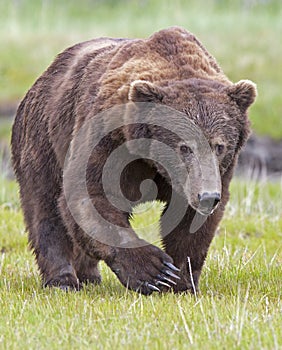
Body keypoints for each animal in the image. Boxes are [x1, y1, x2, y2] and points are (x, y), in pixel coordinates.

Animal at [12, 27, 256, 294]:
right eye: (184, 147)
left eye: (219, 146)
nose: (207, 196)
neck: (154, 163)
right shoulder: (107, 138)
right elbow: (89, 195)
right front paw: (155, 271)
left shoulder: (216, 172)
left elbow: (192, 225)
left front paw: (181, 281)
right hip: (44, 139)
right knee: (44, 207)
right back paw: (62, 279)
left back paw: (89, 275)